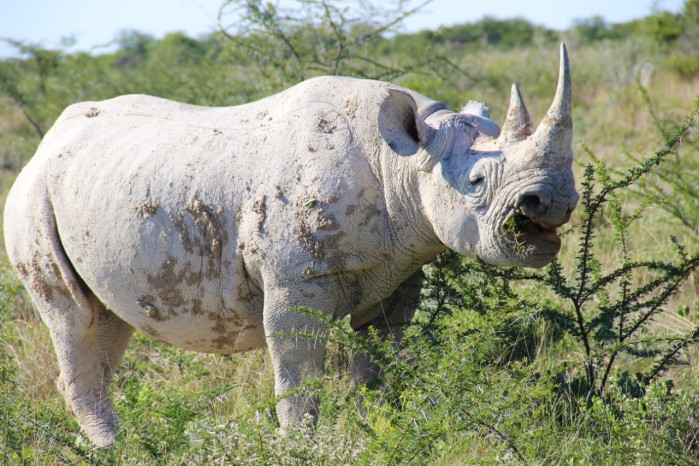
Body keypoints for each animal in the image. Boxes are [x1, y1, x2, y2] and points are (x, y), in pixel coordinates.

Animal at [2, 44, 576, 448]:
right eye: (476, 182)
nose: (552, 201)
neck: (407, 161)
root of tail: (43, 146)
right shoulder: (297, 278)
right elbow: (298, 371)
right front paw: (300, 446)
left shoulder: (398, 271)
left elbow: (377, 366)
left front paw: (381, 432)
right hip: (32, 198)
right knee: (73, 314)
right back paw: (112, 449)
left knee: (106, 319)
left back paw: (115, 443)